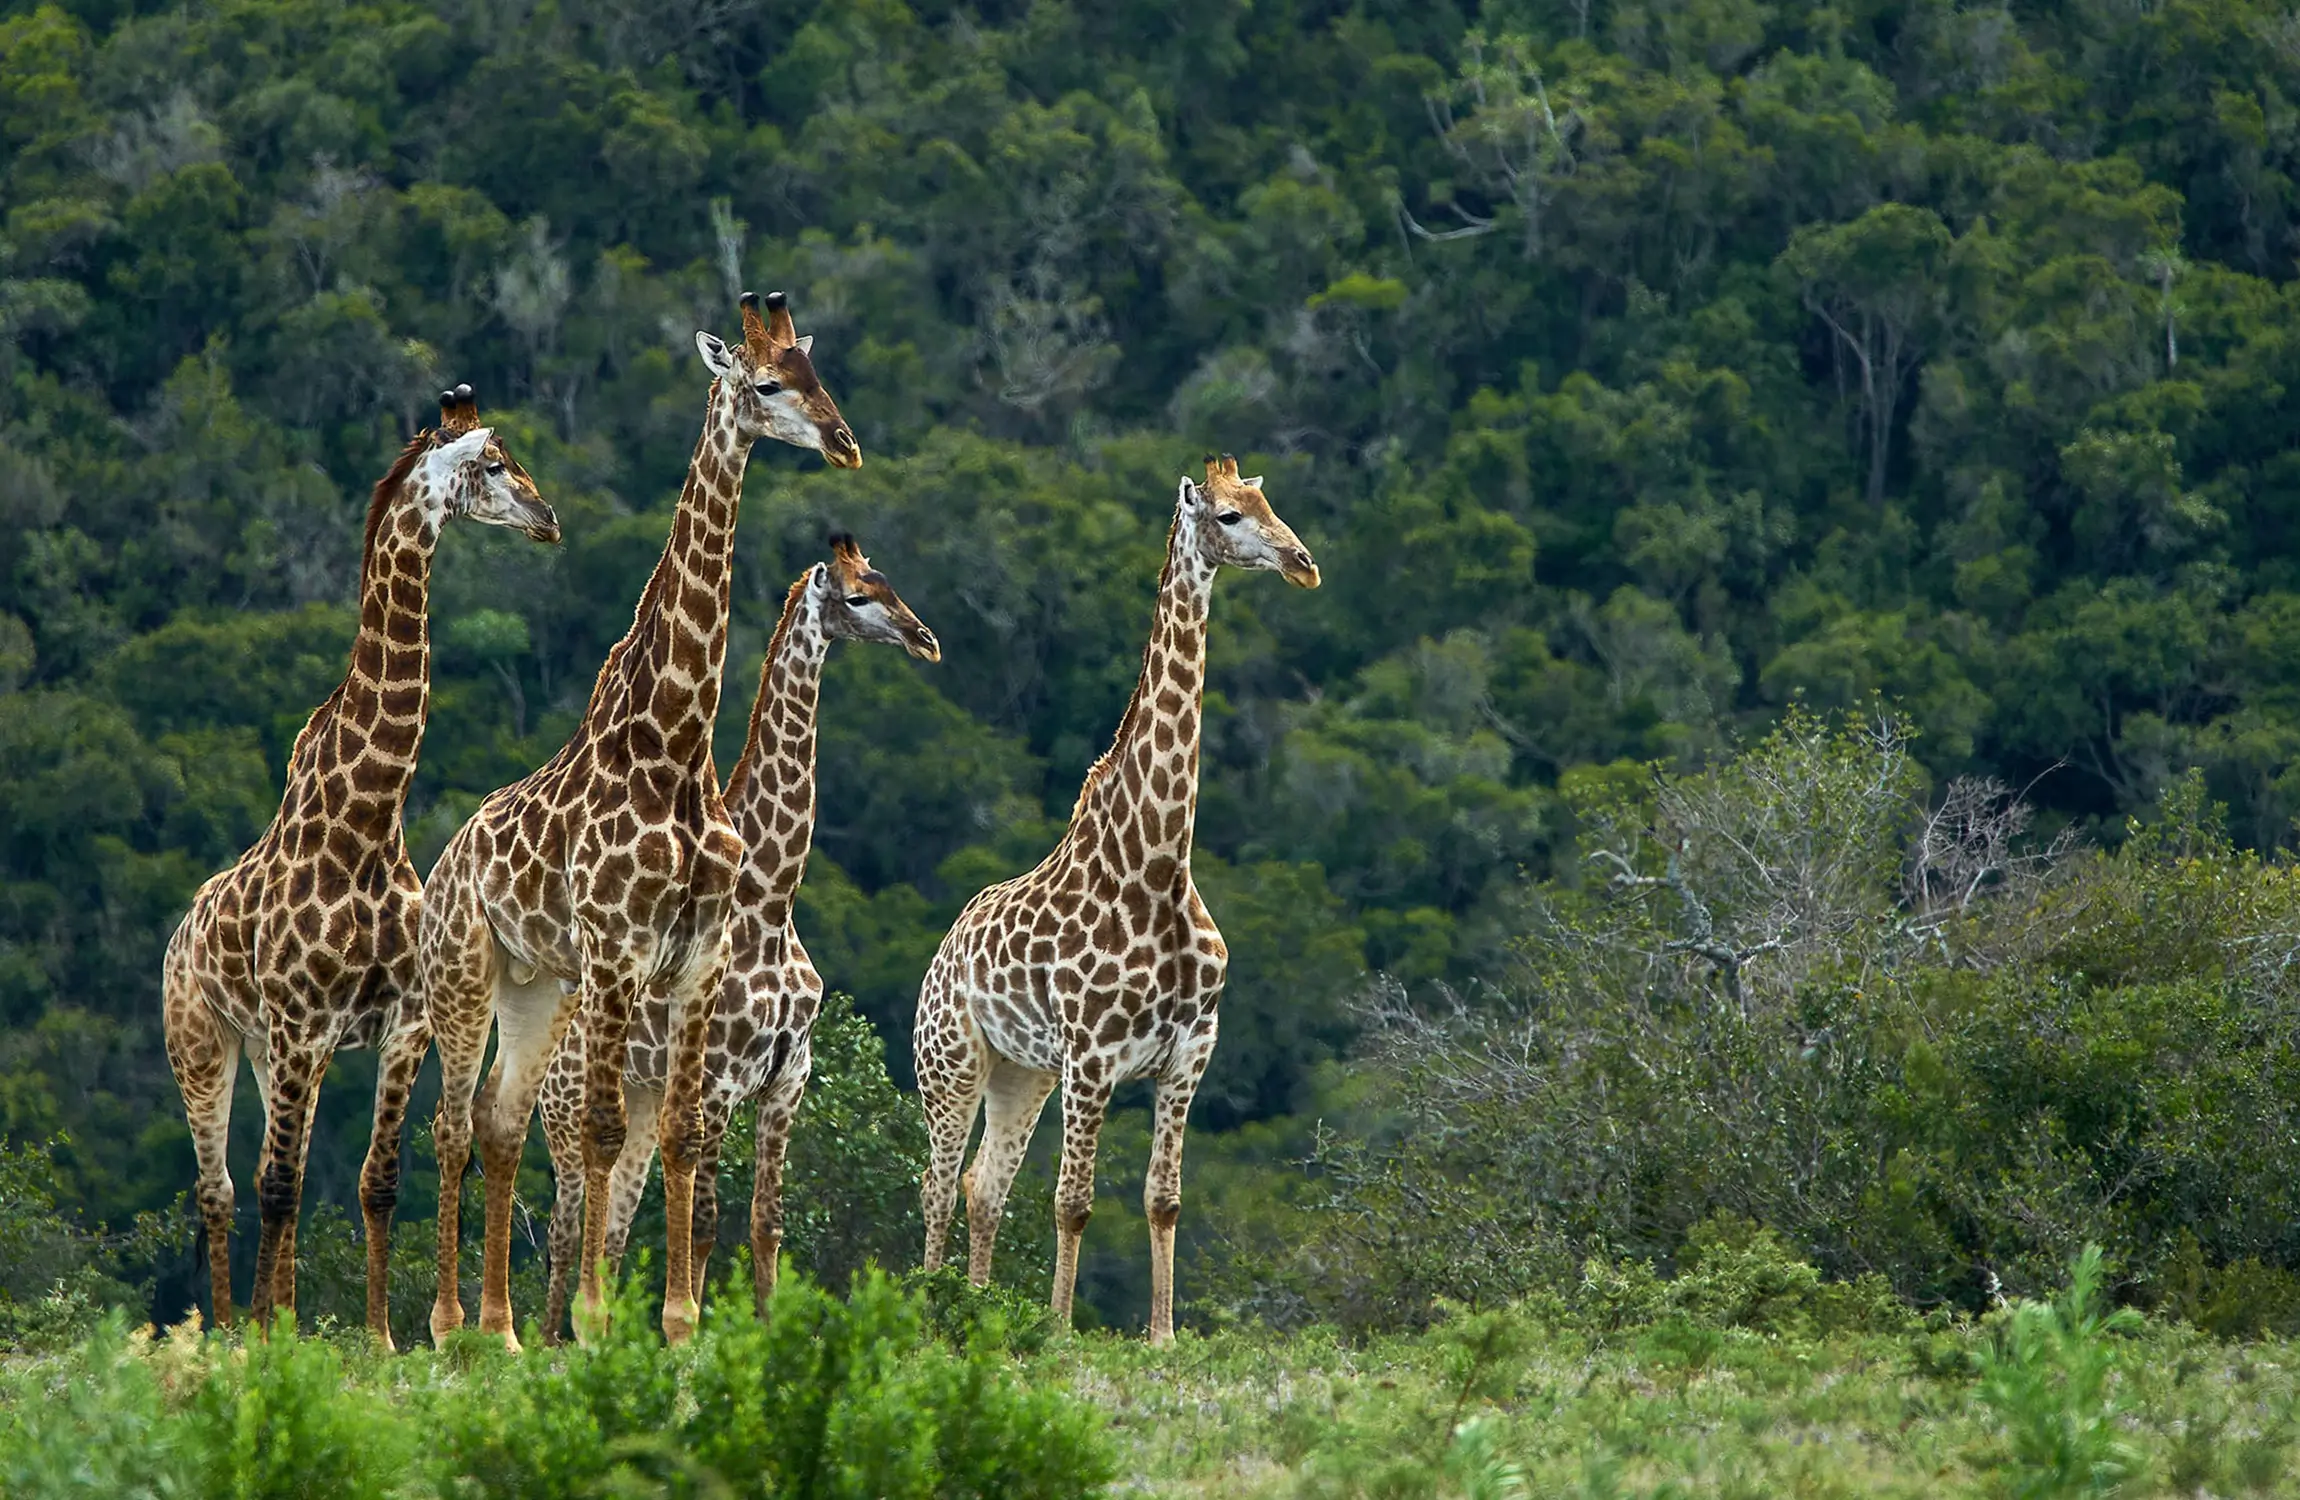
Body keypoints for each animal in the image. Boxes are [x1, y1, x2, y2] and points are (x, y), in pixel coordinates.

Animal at [161, 386, 559, 1340]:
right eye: (496, 464)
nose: (549, 519)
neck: (369, 821)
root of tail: (181, 932)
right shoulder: (302, 1023)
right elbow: (278, 1187)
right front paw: (266, 1344)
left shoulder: (400, 1022)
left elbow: (375, 1182)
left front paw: (377, 1337)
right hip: (201, 1039)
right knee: (221, 1189)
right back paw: (228, 1331)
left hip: (263, 1049)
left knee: (266, 1176)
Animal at [413, 291, 858, 1351]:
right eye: (768, 384)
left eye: (820, 376)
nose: (845, 442)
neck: (672, 744)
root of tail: (445, 860)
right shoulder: (618, 948)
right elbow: (609, 1135)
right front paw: (594, 1321)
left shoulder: (696, 958)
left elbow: (685, 1141)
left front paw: (683, 1324)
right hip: (468, 972)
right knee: (455, 1125)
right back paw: (453, 1326)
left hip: (538, 985)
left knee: (496, 1122)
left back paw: (500, 1329)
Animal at [536, 533, 940, 1340]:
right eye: (858, 596)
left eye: (888, 580)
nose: (924, 639)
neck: (772, 900)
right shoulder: (722, 1079)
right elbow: (705, 1221)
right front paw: (697, 1334)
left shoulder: (789, 1078)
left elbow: (765, 1221)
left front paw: (766, 1328)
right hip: (566, 1122)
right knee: (563, 1231)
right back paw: (545, 1339)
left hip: (637, 1109)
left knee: (612, 1226)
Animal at [913, 454, 1319, 1345]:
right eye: (1229, 516)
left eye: (1269, 502)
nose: (1303, 562)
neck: (1155, 869)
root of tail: (943, 949)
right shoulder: (1094, 1056)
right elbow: (1073, 1203)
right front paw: (1061, 1330)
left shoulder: (1190, 1052)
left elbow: (1162, 1200)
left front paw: (1161, 1334)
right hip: (952, 1061)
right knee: (937, 1182)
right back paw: (930, 1309)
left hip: (1021, 1074)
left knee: (983, 1186)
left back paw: (979, 1311)